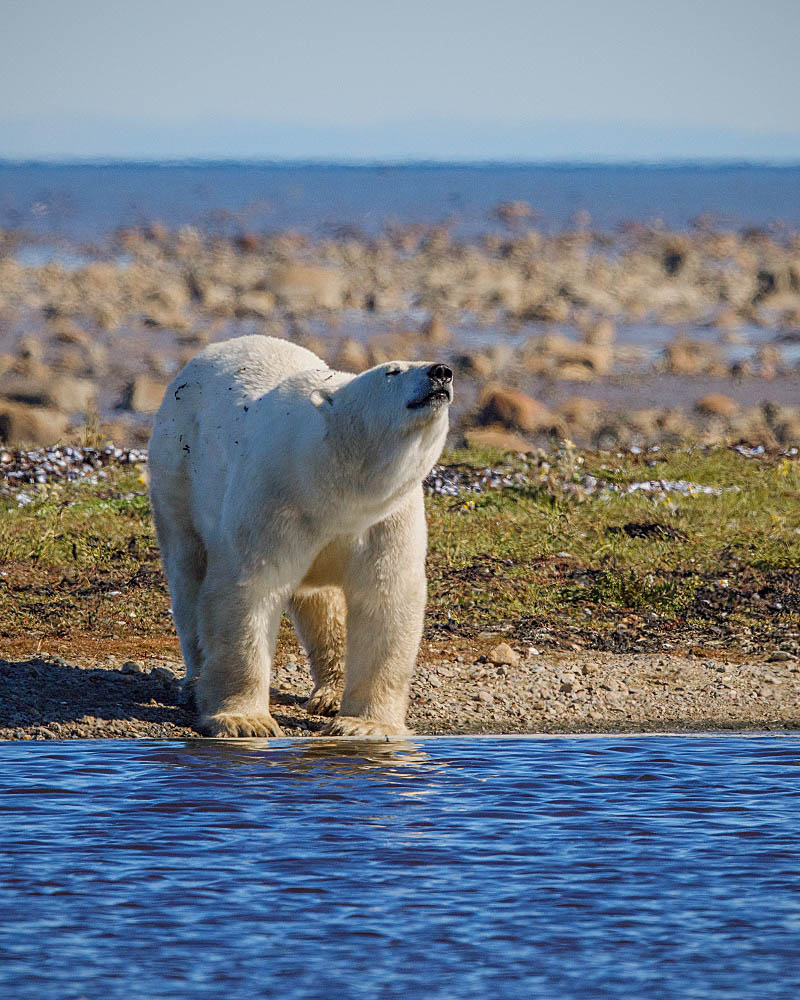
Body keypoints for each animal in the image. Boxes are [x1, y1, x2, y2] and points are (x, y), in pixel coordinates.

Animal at [147, 340, 454, 740]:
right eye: (392, 371)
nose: (442, 372)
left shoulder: (385, 519)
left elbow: (385, 600)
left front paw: (364, 725)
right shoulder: (275, 497)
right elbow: (249, 591)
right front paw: (244, 721)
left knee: (321, 604)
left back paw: (329, 694)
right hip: (177, 473)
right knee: (188, 575)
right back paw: (195, 682)